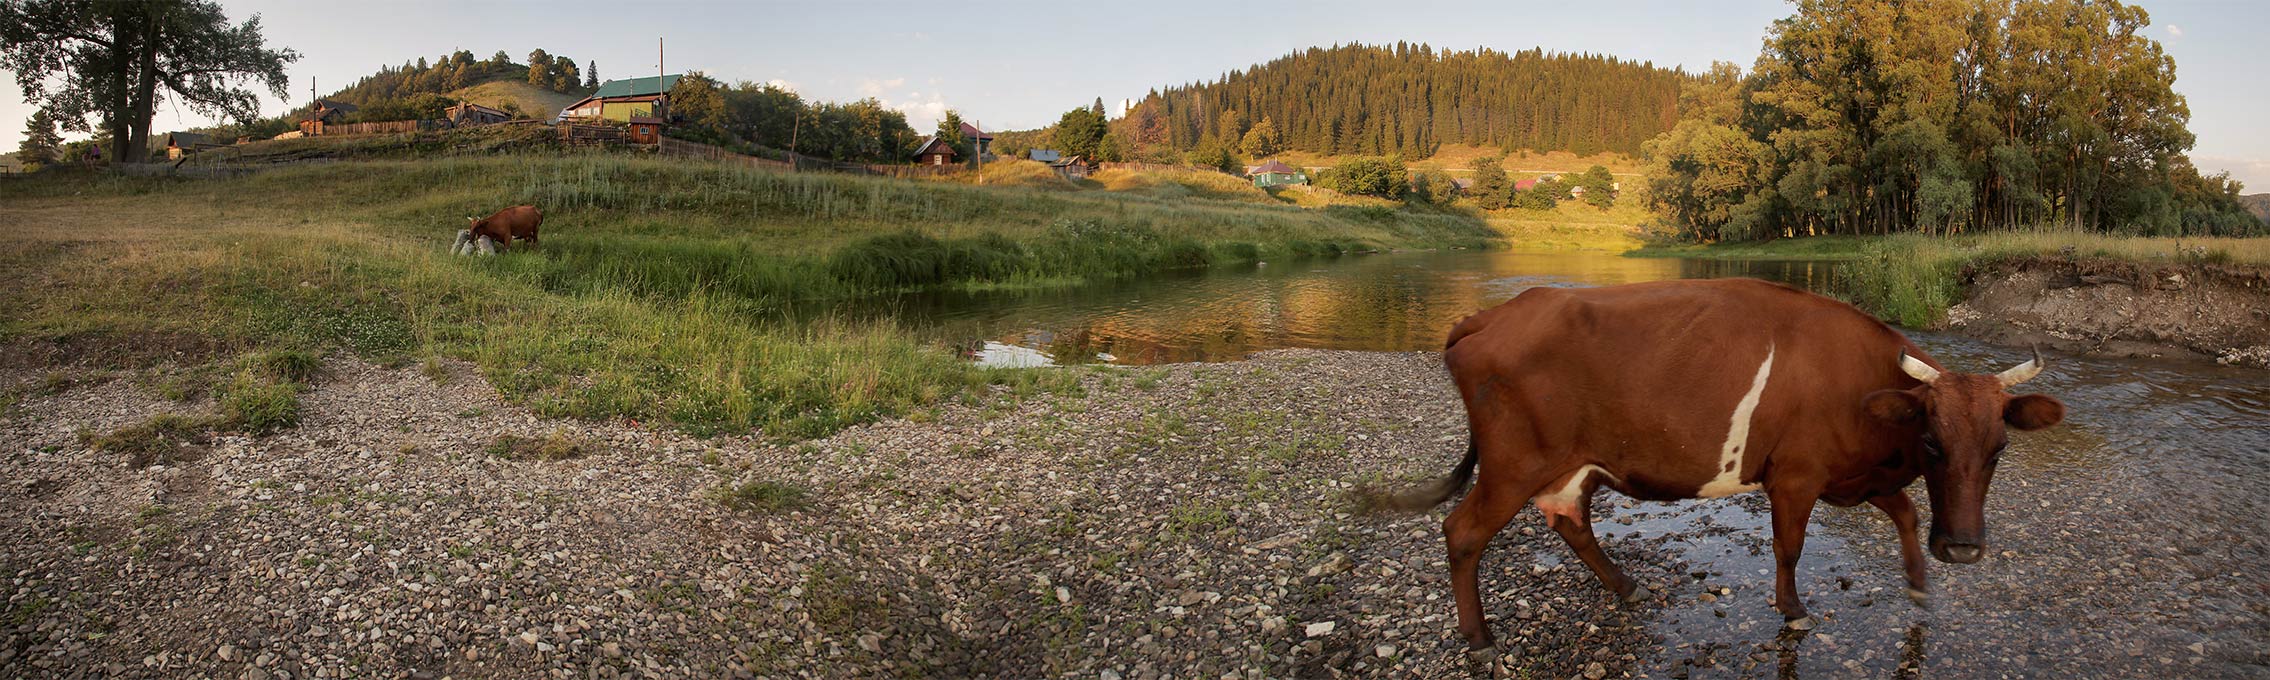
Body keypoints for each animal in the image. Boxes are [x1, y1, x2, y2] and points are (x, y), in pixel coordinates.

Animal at [1371, 278, 2070, 657]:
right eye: (1932, 442)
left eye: (1998, 449)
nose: (1964, 549)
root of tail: (1490, 314)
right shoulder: (1795, 475)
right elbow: (1789, 546)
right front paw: (1793, 608)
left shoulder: (1853, 476)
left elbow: (1903, 512)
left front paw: (1920, 580)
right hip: (1513, 462)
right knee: (1462, 532)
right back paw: (1480, 638)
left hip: (1570, 464)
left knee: (1569, 519)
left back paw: (1626, 586)